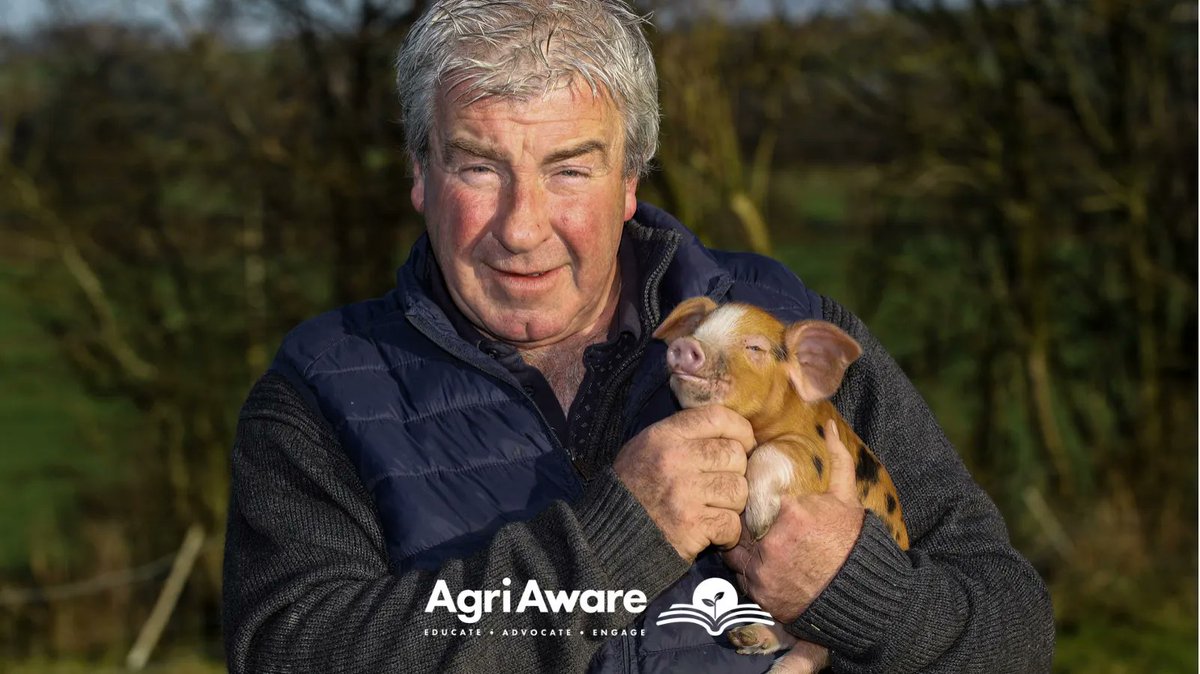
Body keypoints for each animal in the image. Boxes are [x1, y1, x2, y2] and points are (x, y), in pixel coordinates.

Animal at [653, 296, 909, 674]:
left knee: (811, 651)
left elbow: (770, 453)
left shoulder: (816, 457)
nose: (686, 346)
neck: (760, 427)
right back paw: (744, 638)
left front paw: (759, 525)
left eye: (755, 347)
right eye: (698, 331)